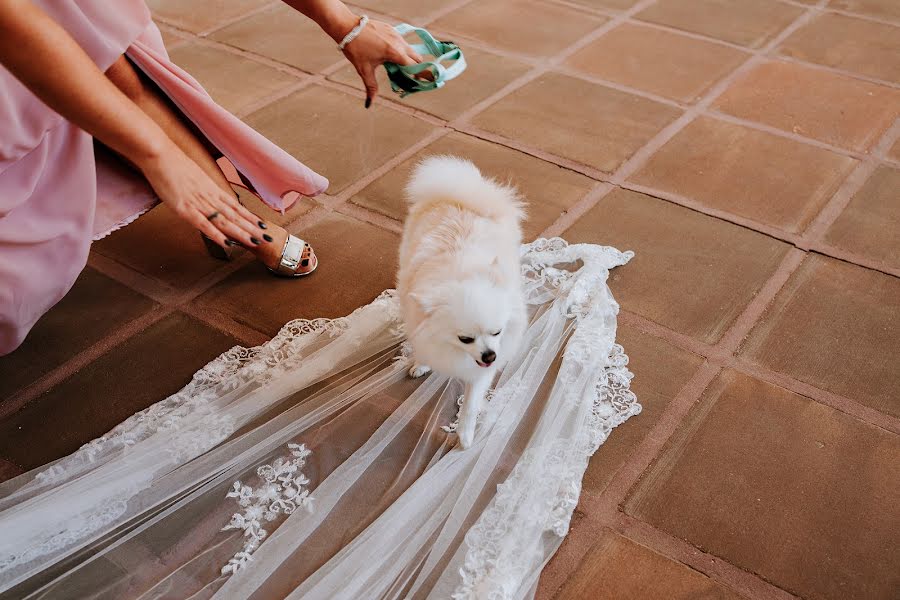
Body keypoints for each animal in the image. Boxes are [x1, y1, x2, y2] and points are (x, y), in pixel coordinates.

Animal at [396, 157, 528, 448]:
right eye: (465, 339)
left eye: (497, 333)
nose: (490, 355)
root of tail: (464, 194)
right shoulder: (416, 318)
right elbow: (422, 345)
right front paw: (422, 363)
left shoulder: (480, 372)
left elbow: (470, 403)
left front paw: (465, 435)